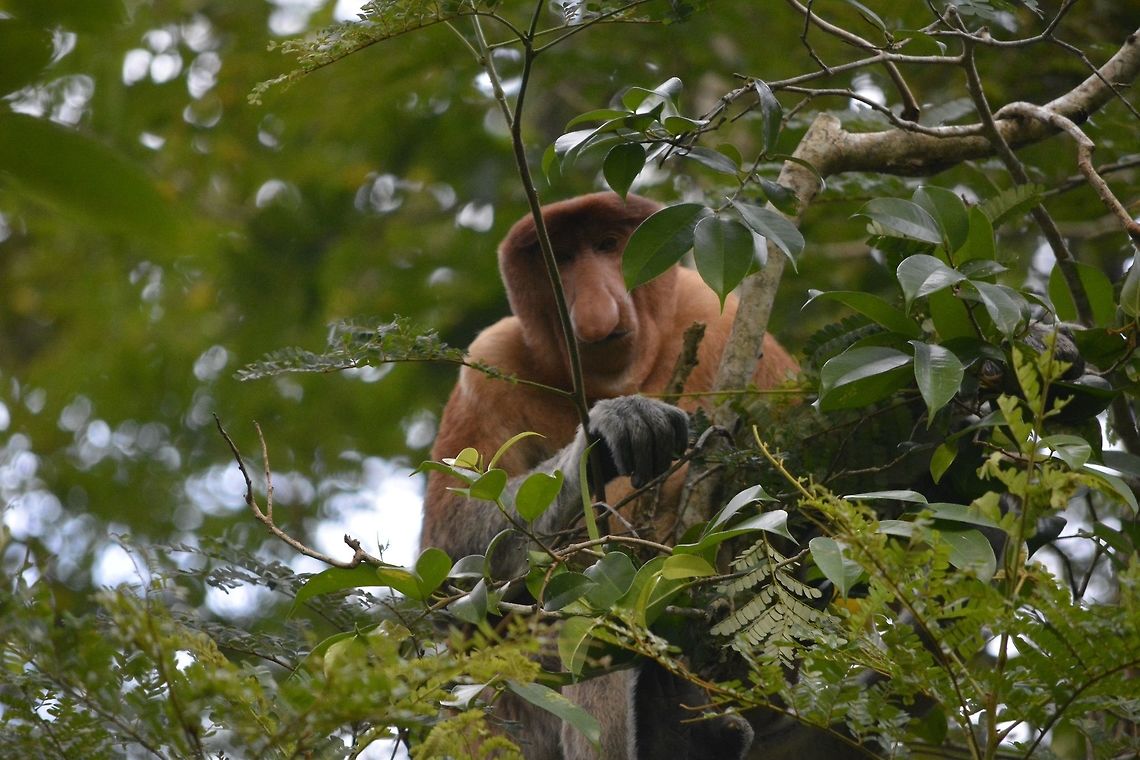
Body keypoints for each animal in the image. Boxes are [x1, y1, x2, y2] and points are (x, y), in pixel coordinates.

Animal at [420, 191, 798, 759]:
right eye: (561, 258)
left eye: (606, 245)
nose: (597, 311)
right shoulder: (489, 363)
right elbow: (448, 553)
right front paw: (609, 432)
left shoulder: (718, 318)